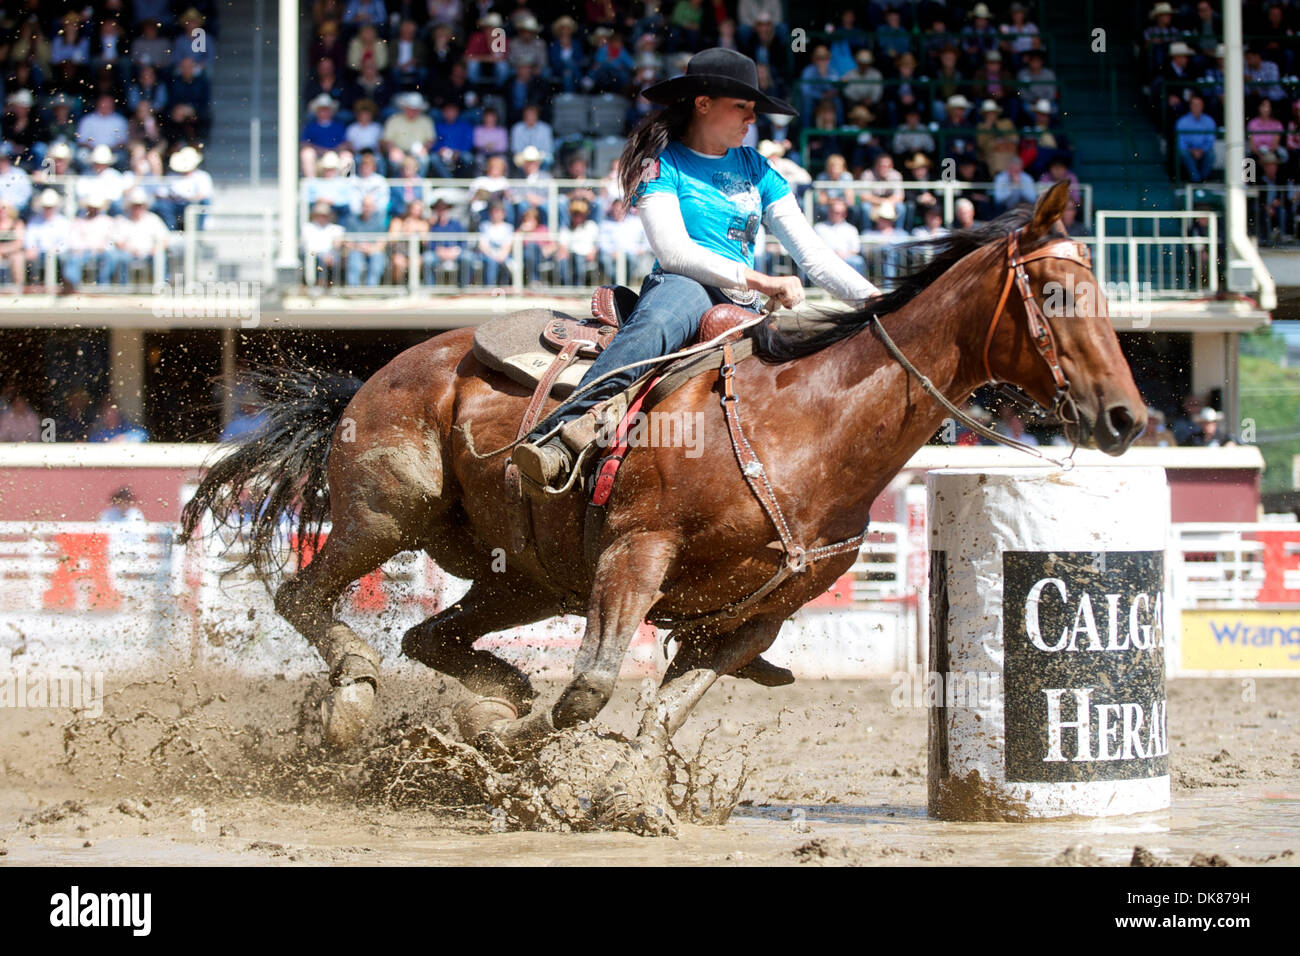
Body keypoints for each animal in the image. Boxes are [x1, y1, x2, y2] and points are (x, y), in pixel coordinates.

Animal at [180, 179, 1138, 749]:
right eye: (1056, 292)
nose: (1127, 417)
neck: (807, 425)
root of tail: (375, 374)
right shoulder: (634, 554)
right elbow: (588, 693)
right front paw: (507, 748)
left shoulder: (755, 619)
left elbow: (662, 719)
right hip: (387, 516)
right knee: (304, 595)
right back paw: (354, 699)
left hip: (525, 576)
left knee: (430, 635)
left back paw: (488, 690)